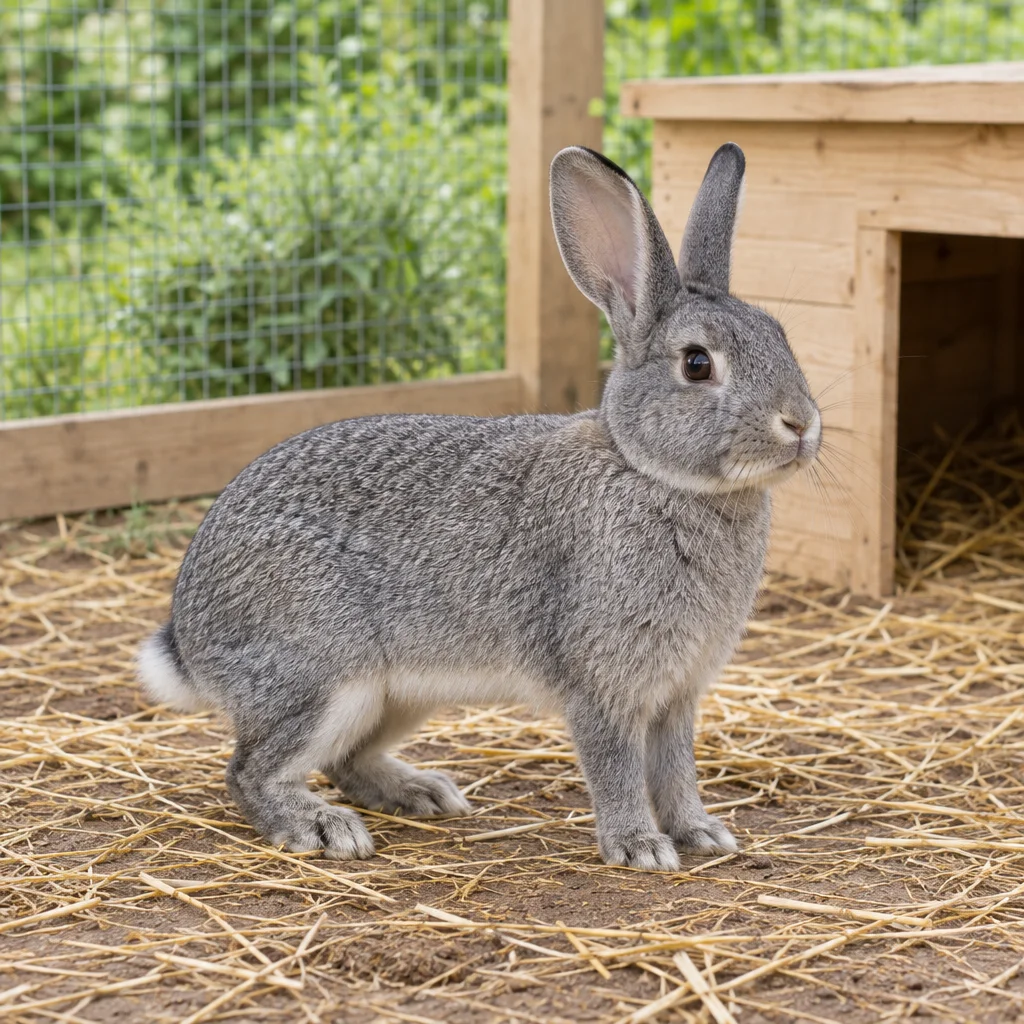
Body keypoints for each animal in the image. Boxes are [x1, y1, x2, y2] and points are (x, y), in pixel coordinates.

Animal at [138, 142, 821, 871]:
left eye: (781, 333)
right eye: (696, 363)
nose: (801, 424)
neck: (649, 470)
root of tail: (189, 635)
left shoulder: (677, 694)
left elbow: (675, 769)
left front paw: (701, 833)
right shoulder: (602, 685)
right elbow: (616, 768)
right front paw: (640, 847)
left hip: (398, 694)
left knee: (344, 762)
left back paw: (420, 792)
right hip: (324, 678)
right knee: (249, 771)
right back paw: (321, 828)